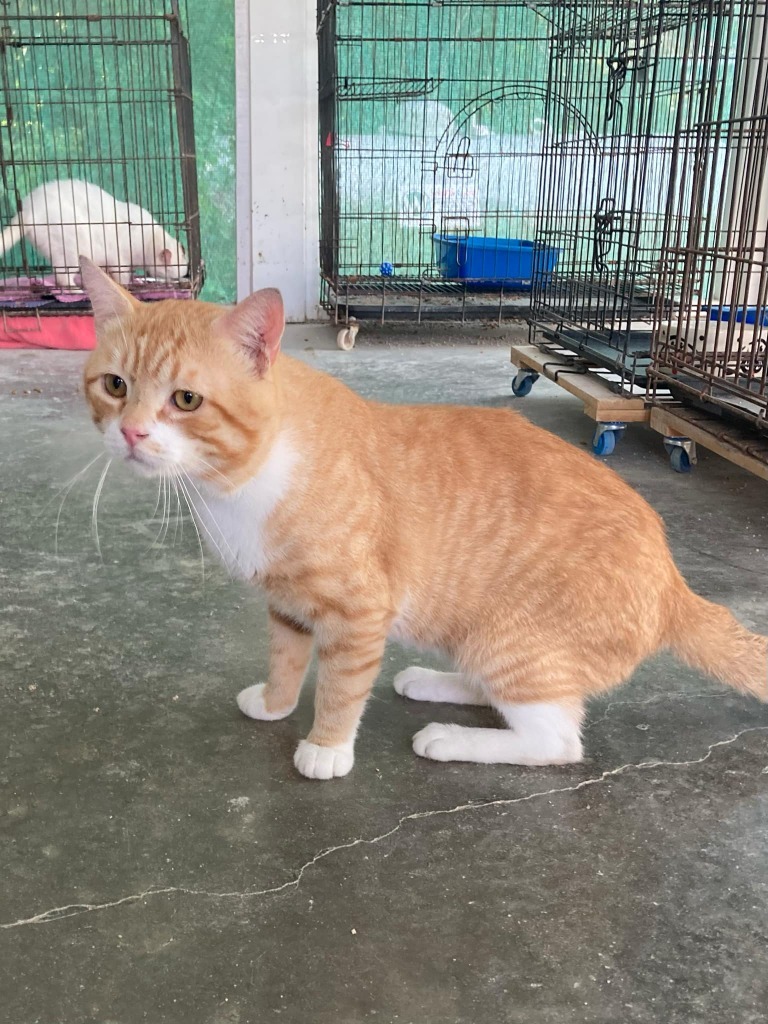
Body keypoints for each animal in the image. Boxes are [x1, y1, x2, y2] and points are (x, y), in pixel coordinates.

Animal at [0, 179, 188, 288]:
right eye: (172, 275)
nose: (180, 281)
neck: (148, 237)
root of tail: (28, 210)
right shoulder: (119, 258)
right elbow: (122, 276)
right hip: (72, 247)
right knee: (62, 277)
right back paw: (76, 290)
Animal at [81, 260, 765, 778]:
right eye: (115, 386)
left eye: (186, 400)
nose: (133, 433)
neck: (235, 482)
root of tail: (674, 583)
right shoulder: (287, 603)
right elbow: (285, 658)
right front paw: (276, 703)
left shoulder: (358, 610)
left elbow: (340, 684)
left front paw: (326, 747)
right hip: (483, 638)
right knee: (510, 694)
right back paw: (436, 683)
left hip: (511, 640)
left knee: (556, 740)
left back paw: (452, 738)